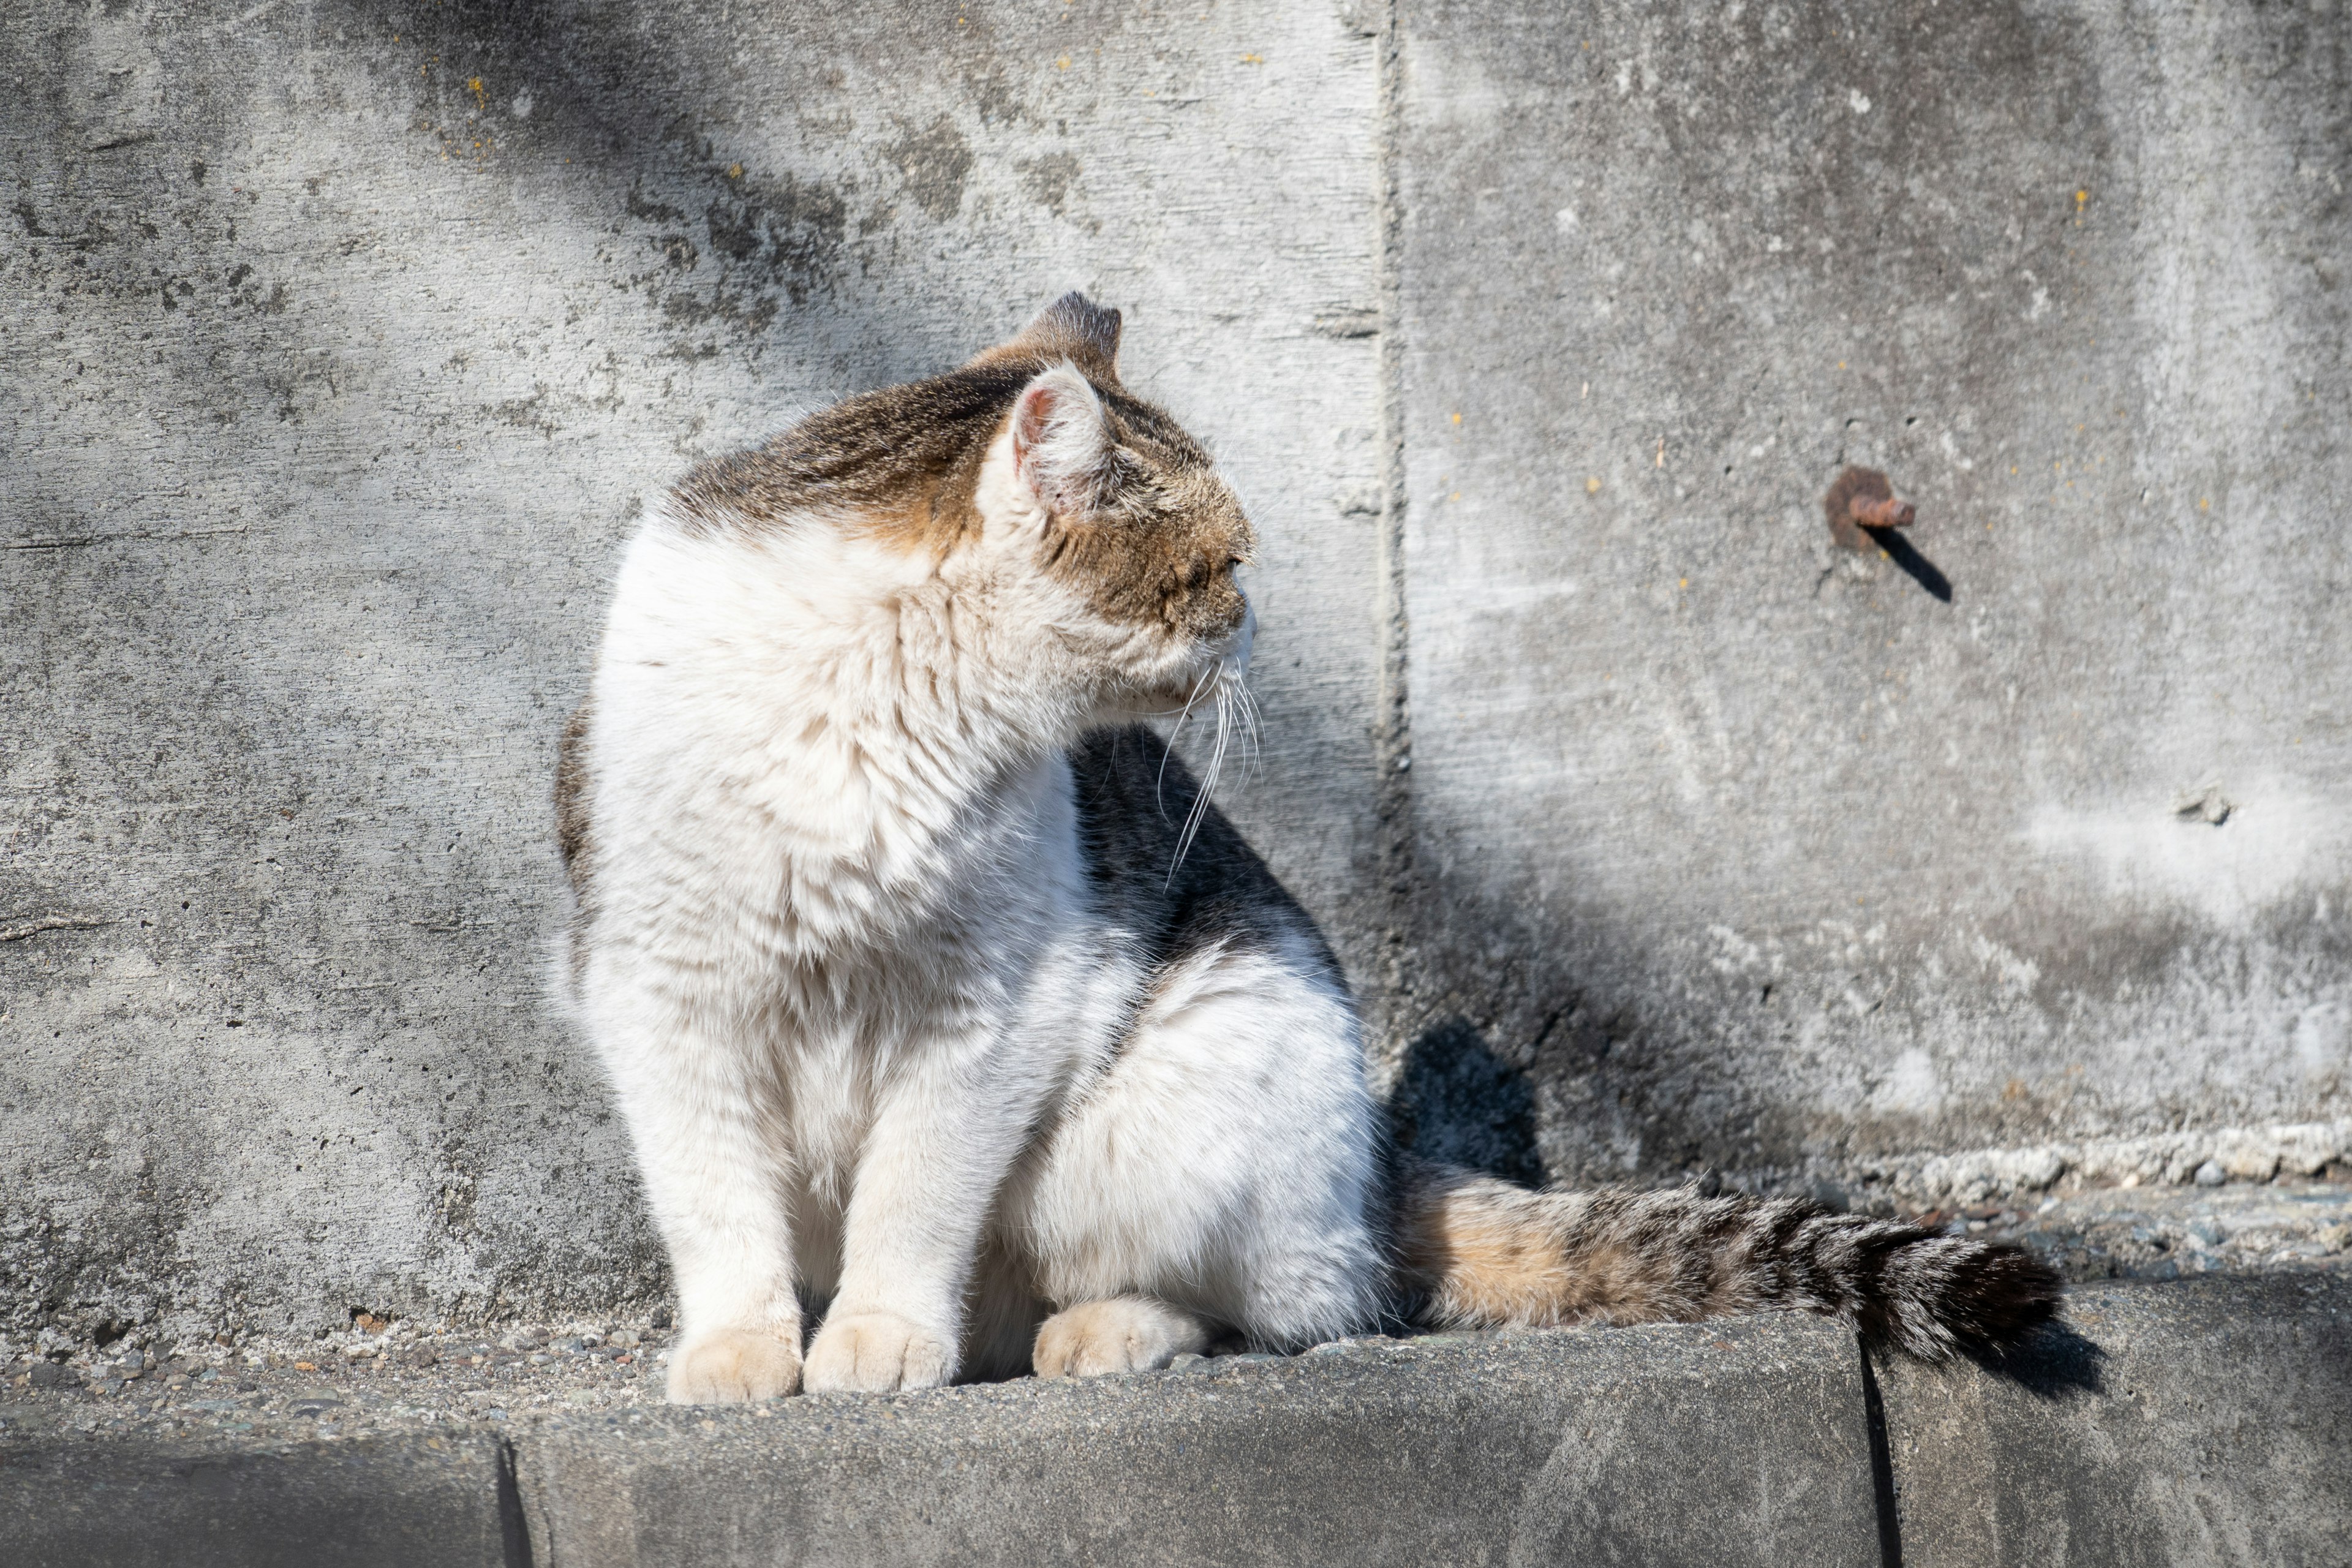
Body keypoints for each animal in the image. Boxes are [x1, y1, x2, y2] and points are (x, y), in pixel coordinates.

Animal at [555, 297, 2060, 1410]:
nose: (1253, 615)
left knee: (1276, 1301)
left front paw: (874, 1335)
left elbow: (913, 1192)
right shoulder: (662, 997)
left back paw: (1097, 1332)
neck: (874, 705)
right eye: (1213, 563)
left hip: (1179, 1089)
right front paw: (740, 1352)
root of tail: (1375, 1162)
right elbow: (715, 1205)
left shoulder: (987, 1012)